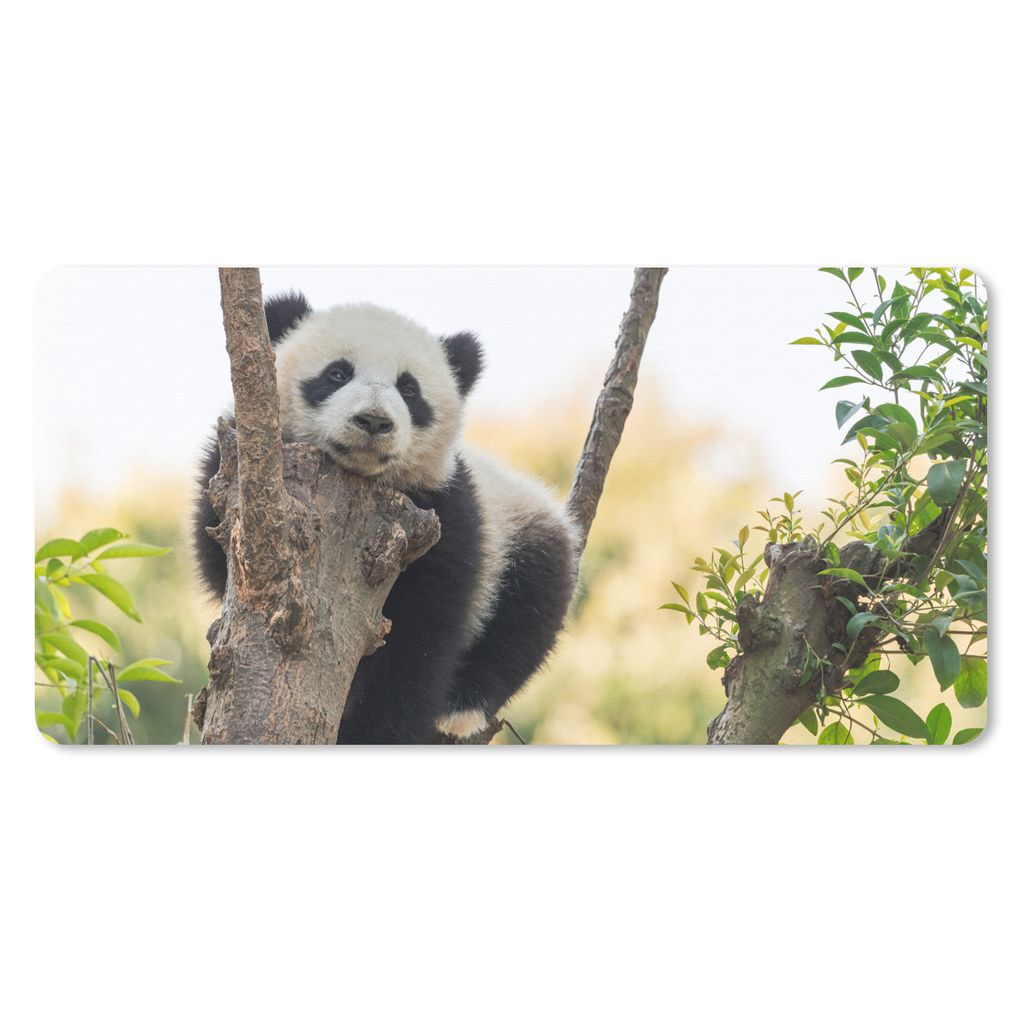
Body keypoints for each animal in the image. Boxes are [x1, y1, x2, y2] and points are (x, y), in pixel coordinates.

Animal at [193, 291, 579, 744]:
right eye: (337, 373)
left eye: (409, 389)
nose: (374, 421)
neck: (359, 478)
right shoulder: (235, 481)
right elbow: (218, 555)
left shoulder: (444, 513)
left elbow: (419, 639)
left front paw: (370, 730)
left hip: (521, 528)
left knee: (526, 614)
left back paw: (460, 709)